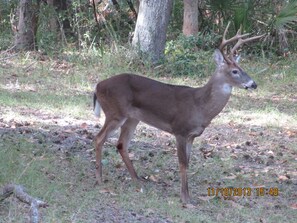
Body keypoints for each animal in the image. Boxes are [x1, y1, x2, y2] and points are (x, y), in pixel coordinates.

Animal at [93, 22, 264, 204]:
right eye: (234, 71)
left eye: (242, 68)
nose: (253, 84)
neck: (200, 106)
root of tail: (97, 86)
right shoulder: (180, 130)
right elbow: (182, 163)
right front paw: (185, 198)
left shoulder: (192, 135)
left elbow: (188, 162)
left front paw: (188, 195)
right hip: (114, 112)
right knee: (98, 138)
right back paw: (100, 179)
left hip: (132, 118)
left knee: (121, 144)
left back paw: (137, 179)